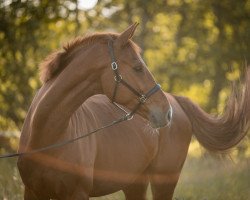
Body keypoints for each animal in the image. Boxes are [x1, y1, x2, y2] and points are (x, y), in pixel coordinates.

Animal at [17, 23, 172, 198]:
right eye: (138, 67)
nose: (167, 112)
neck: (45, 135)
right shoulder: (32, 192)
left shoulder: (78, 193)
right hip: (134, 184)